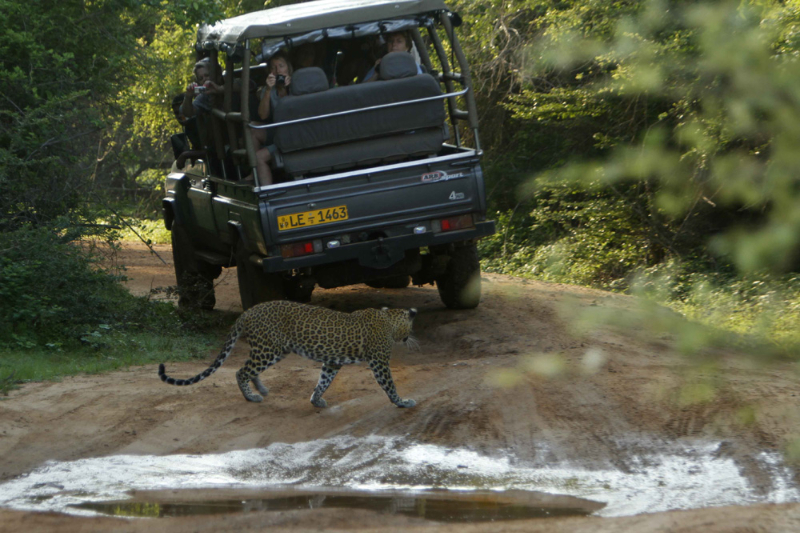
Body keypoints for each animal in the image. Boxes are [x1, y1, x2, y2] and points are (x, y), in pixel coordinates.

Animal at [158, 300, 418, 408]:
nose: (410, 338)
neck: (389, 319)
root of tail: (248, 311)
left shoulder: (332, 362)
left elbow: (323, 381)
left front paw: (316, 400)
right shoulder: (379, 361)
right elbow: (389, 385)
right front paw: (402, 402)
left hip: (273, 350)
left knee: (249, 369)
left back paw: (261, 389)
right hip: (268, 349)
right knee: (241, 371)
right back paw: (251, 397)